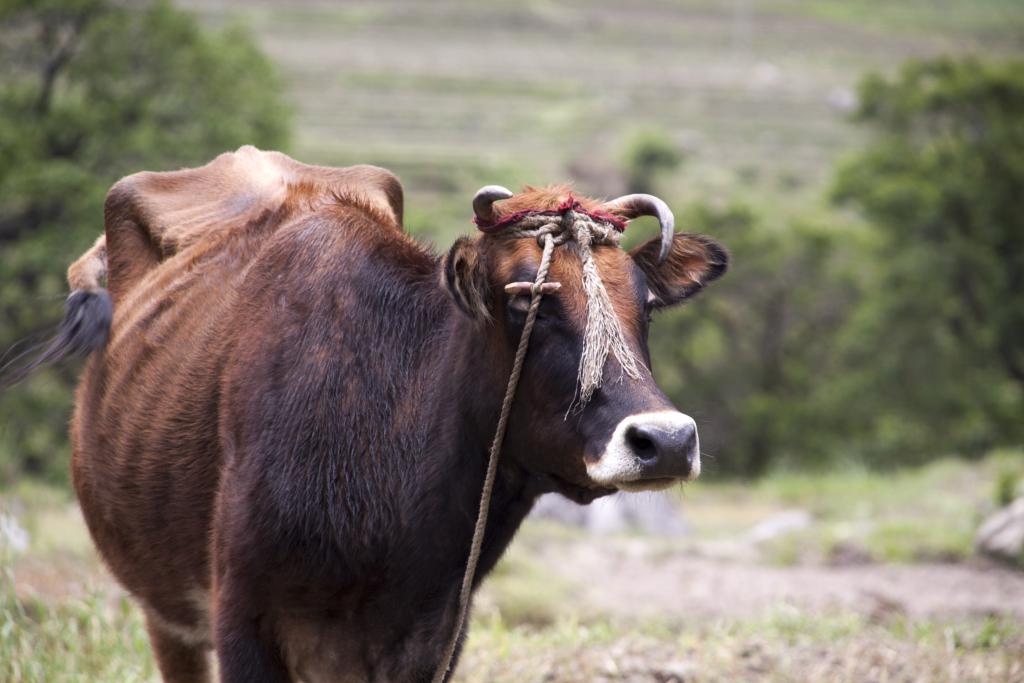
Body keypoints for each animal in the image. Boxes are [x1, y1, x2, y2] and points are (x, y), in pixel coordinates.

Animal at [14, 147, 729, 679]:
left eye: (647, 303)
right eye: (526, 300)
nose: (665, 441)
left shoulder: (432, 639)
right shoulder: (242, 625)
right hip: (165, 613)